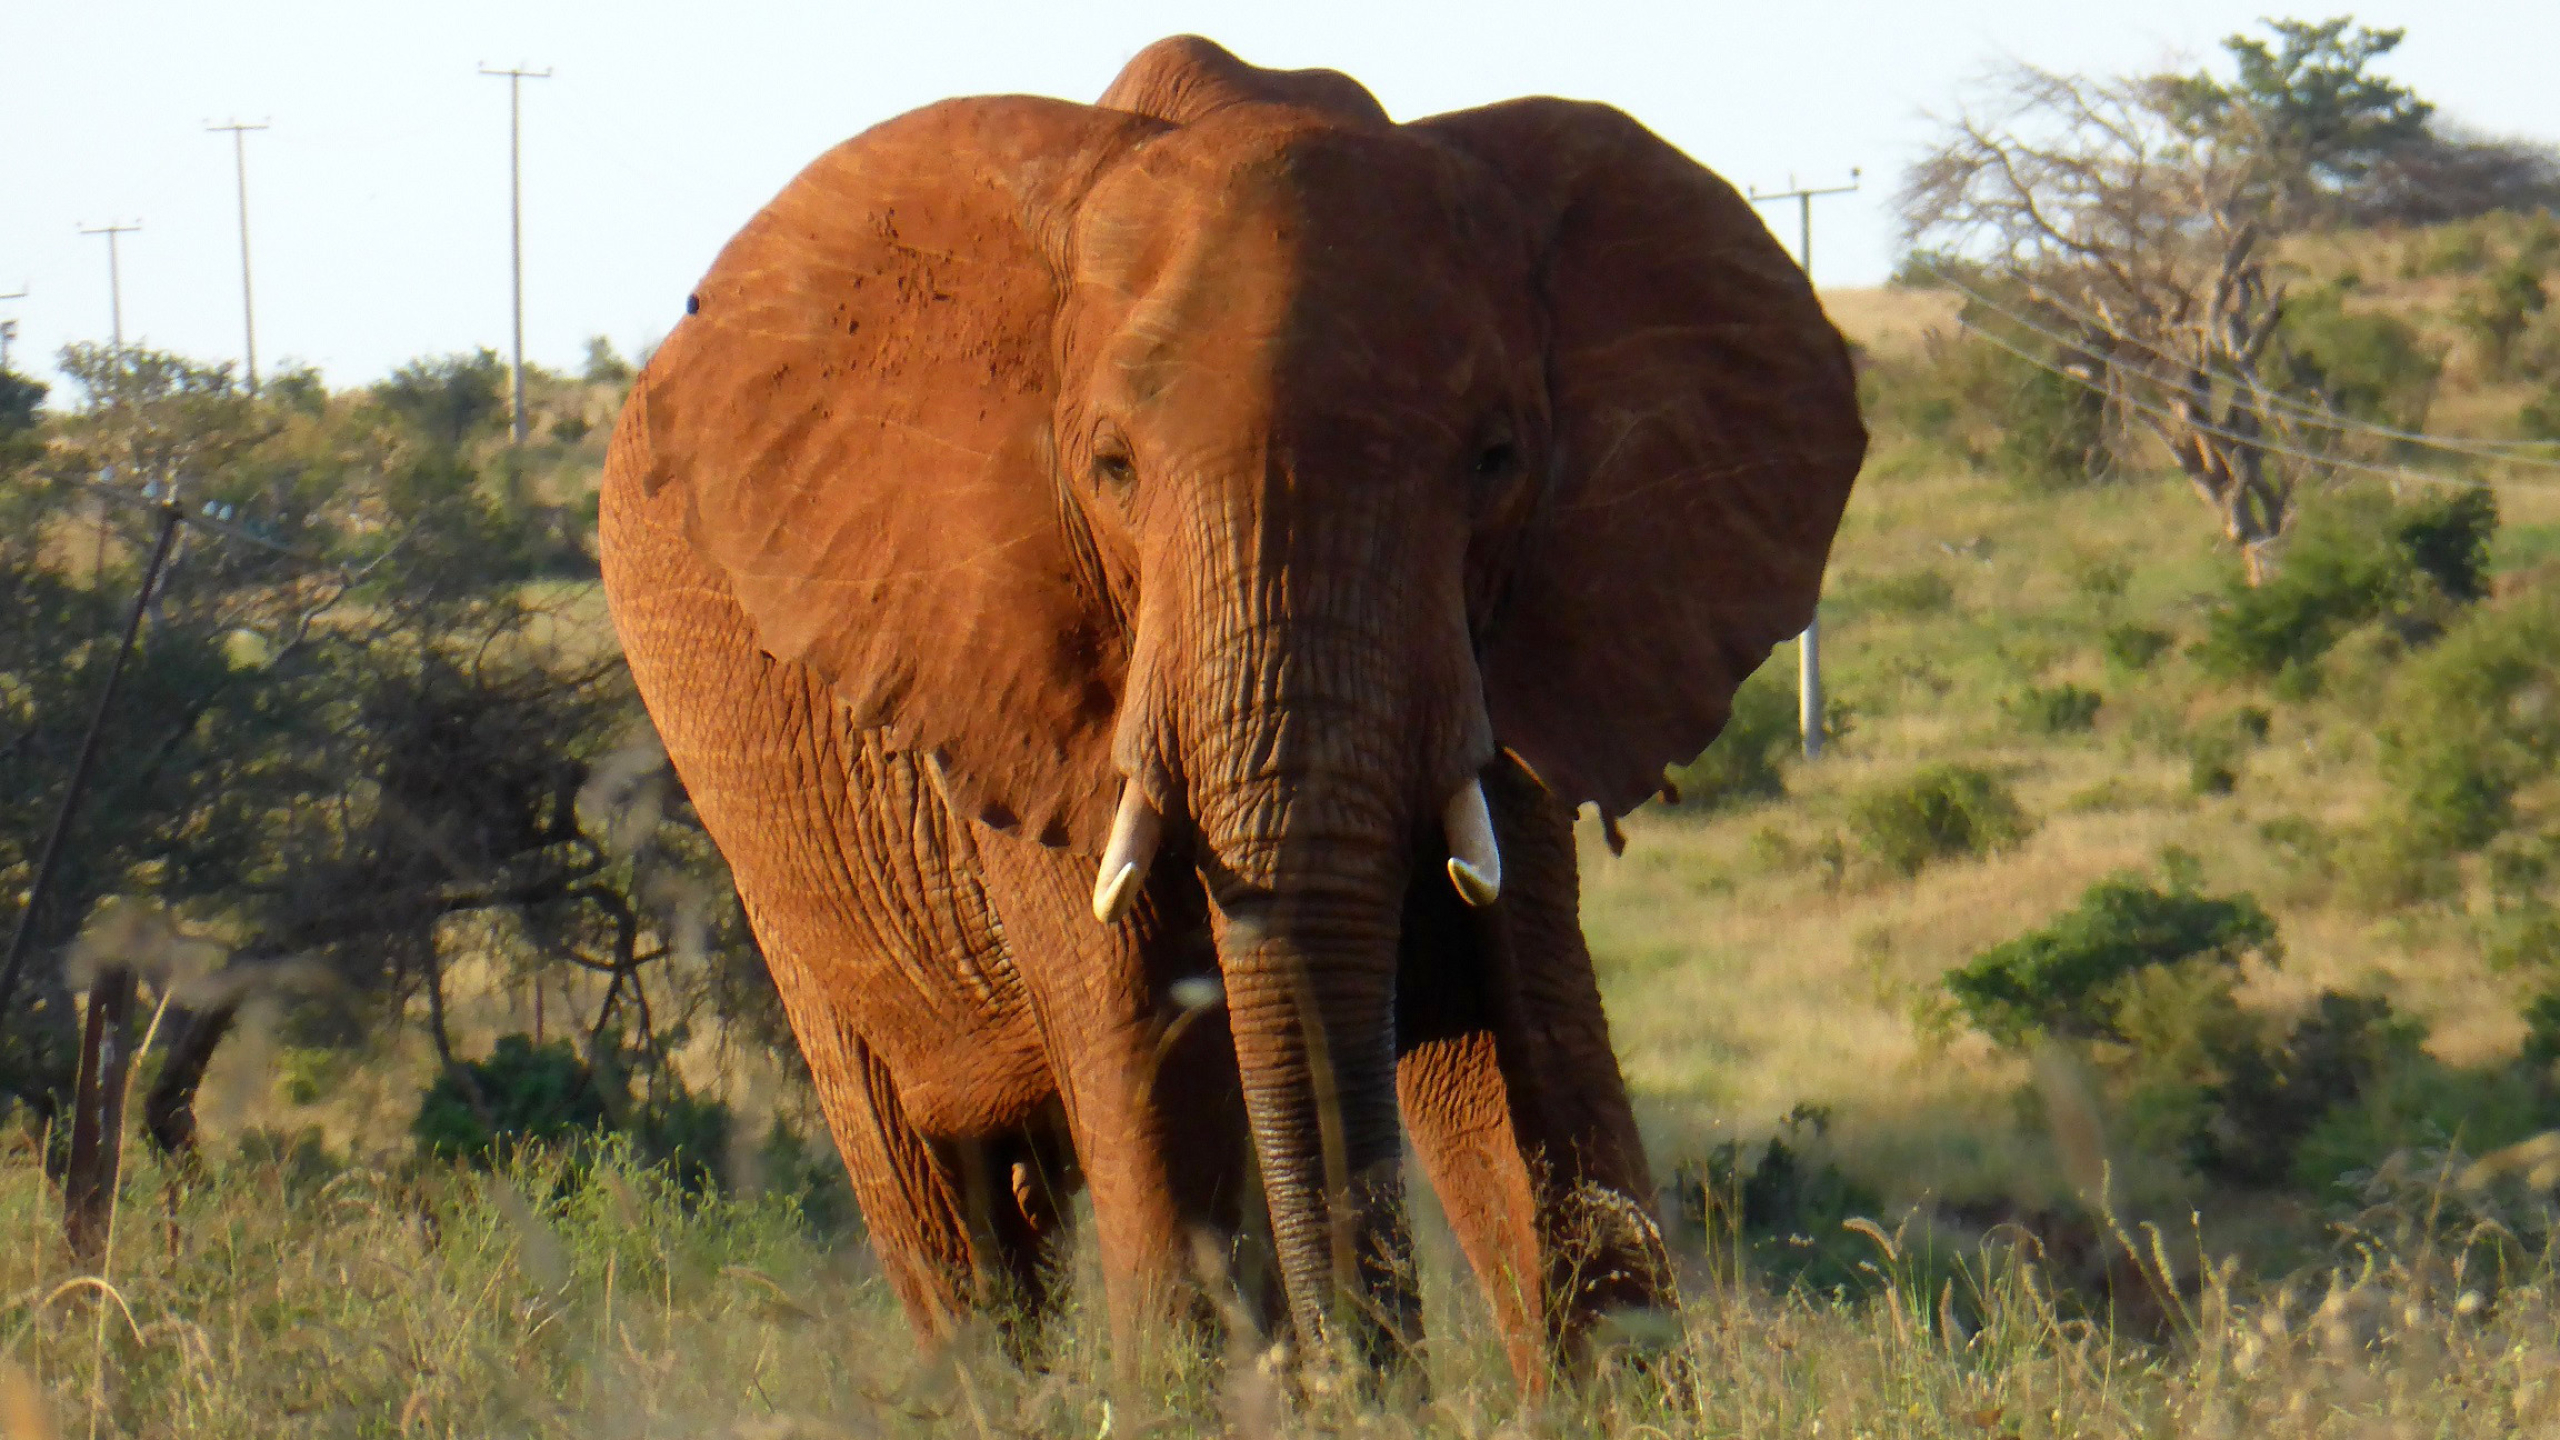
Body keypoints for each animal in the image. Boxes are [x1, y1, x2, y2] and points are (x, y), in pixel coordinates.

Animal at [599, 36, 1863, 1383]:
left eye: (1495, 461)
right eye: (1109, 468)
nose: (1360, 1376)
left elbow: (1528, 1042)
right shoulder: (1024, 671)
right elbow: (1161, 1085)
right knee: (942, 1212)